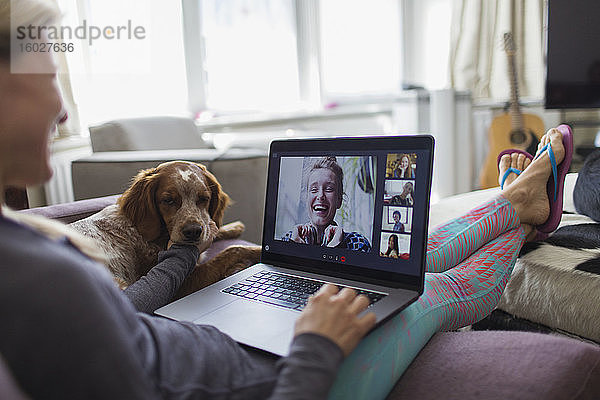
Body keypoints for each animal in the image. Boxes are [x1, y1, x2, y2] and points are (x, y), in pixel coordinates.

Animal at [69, 161, 260, 298]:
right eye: (168, 200)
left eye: (203, 198)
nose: (193, 231)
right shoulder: (184, 284)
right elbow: (233, 249)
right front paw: (256, 251)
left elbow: (214, 230)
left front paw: (234, 227)